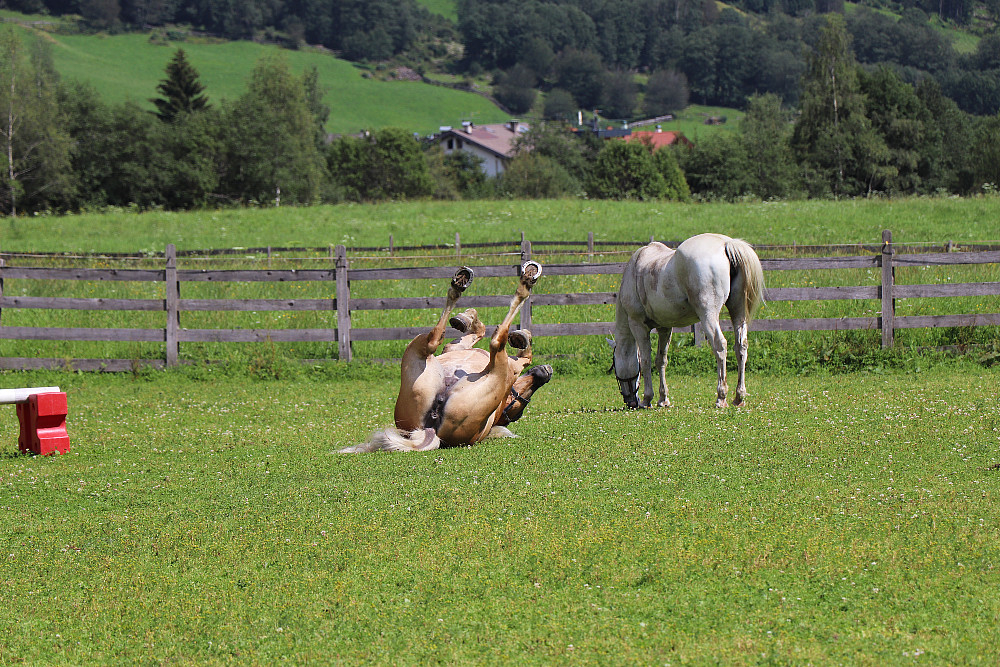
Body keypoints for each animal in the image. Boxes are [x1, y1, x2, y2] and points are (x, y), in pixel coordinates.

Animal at [608, 235, 764, 412]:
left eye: (614, 366)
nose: (631, 402)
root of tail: (726, 244)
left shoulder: (638, 325)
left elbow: (646, 360)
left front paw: (647, 399)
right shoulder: (665, 328)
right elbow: (661, 360)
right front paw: (663, 399)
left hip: (708, 315)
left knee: (720, 345)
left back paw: (721, 397)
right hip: (738, 312)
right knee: (741, 347)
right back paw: (739, 397)